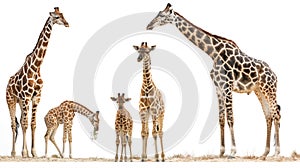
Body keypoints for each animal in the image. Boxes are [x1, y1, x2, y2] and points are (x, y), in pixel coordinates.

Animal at [6, 6, 69, 158]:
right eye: (56, 17)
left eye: (63, 15)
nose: (67, 23)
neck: (36, 67)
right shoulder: (26, 97)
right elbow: (25, 124)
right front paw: (24, 152)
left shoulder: (36, 97)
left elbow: (32, 123)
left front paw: (33, 152)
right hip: (11, 100)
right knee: (13, 124)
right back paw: (13, 152)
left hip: (21, 102)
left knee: (21, 121)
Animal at [146, 3, 282, 159]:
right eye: (158, 14)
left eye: (162, 16)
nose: (149, 25)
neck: (213, 53)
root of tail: (275, 75)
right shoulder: (218, 88)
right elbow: (221, 119)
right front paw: (221, 151)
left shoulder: (228, 87)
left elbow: (230, 118)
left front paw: (233, 151)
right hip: (259, 90)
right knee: (268, 115)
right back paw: (264, 153)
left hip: (269, 89)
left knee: (276, 114)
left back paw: (277, 152)